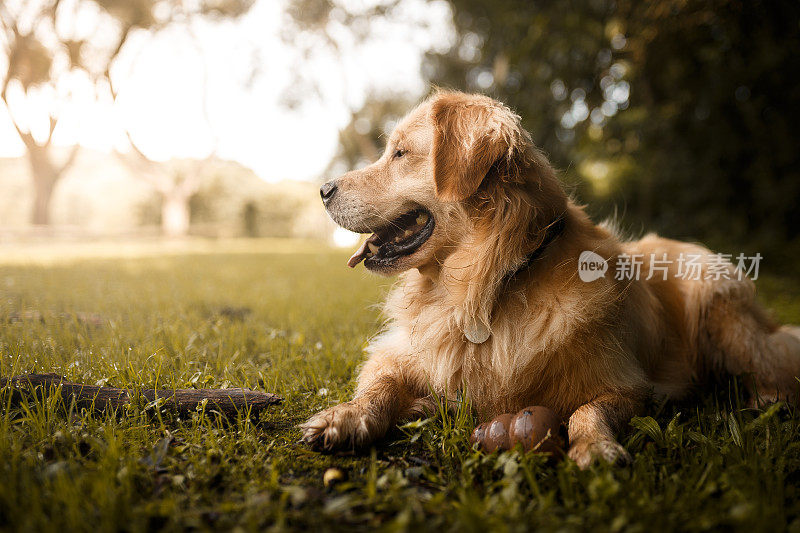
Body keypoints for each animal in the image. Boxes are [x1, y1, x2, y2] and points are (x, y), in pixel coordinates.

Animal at [302, 90, 800, 466]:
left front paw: (595, 447)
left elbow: (586, 412)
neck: (488, 286)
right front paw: (345, 417)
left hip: (718, 307)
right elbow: (379, 385)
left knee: (772, 360)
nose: (322, 189)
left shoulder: (626, 385)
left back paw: (767, 400)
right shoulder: (400, 352)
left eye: (401, 154)